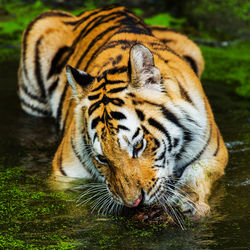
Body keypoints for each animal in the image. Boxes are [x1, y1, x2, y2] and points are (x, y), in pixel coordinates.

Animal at [17, 4, 229, 218]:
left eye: (138, 145)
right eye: (102, 158)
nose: (133, 203)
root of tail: (109, 7)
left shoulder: (214, 153)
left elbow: (197, 173)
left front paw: (188, 202)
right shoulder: (65, 174)